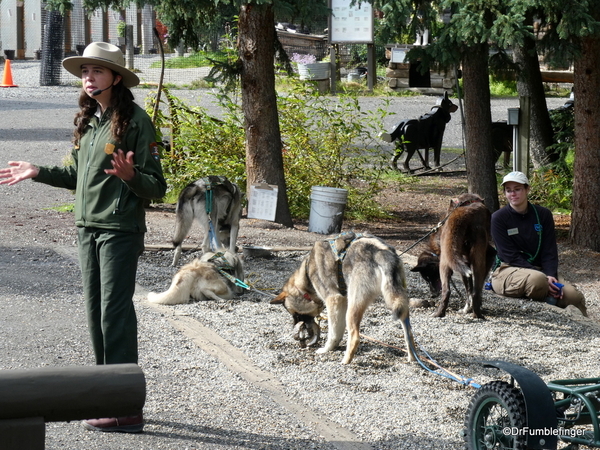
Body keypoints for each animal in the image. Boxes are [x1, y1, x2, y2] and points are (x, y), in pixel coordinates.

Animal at [270, 234, 414, 364]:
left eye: (295, 314)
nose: (295, 326)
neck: (306, 275)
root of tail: (381, 252)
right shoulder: (342, 302)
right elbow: (338, 330)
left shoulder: (334, 300)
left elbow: (333, 333)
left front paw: (327, 349)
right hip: (399, 303)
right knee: (409, 334)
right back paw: (412, 357)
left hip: (353, 308)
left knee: (355, 337)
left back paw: (346, 361)